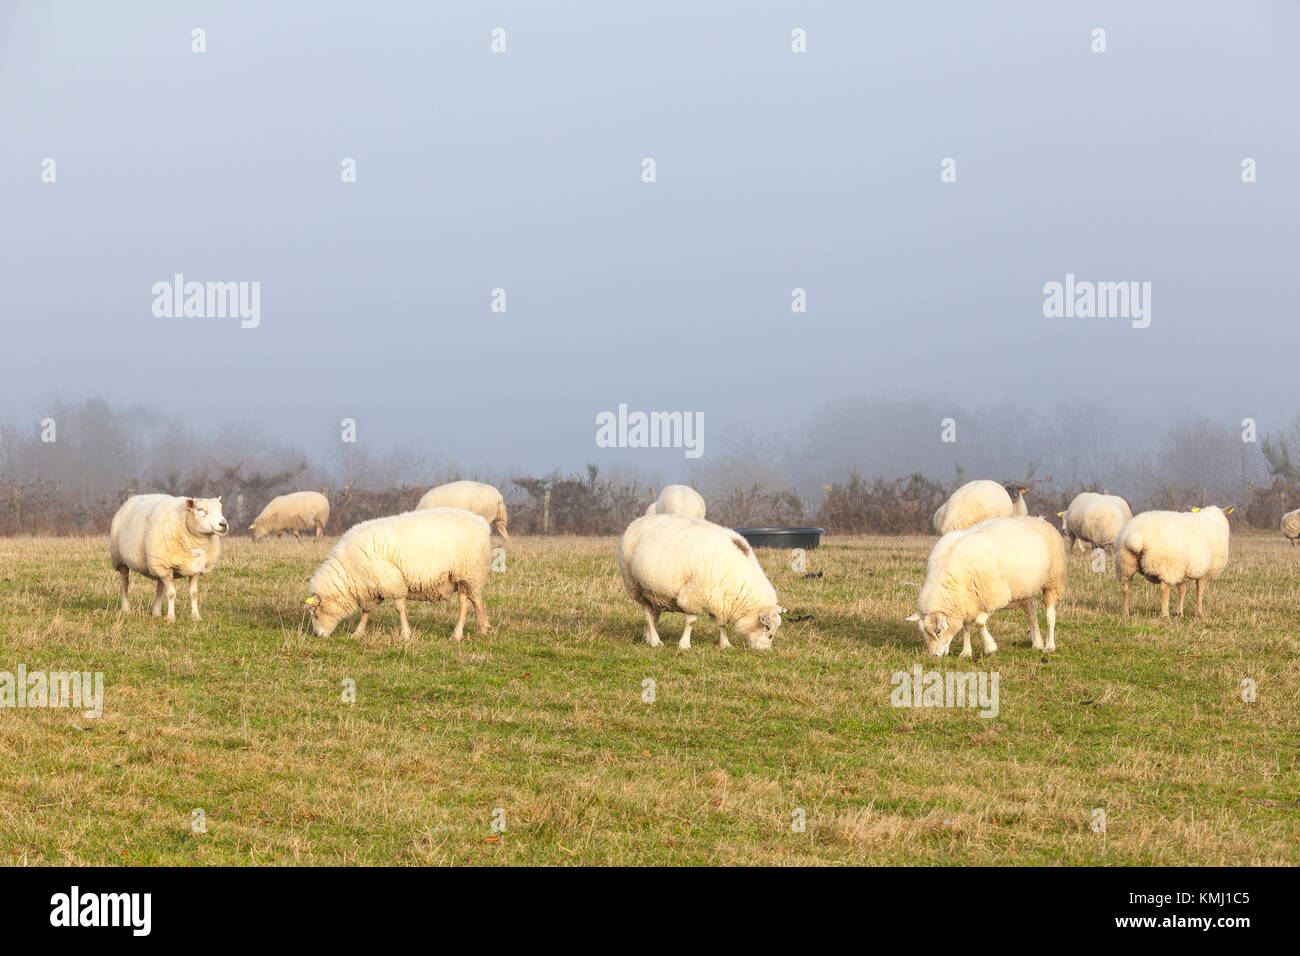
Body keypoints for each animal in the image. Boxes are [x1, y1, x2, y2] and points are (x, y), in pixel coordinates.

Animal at [109, 496, 228, 624]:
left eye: (221, 509)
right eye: (200, 509)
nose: (224, 524)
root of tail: (130, 500)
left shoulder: (195, 568)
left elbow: (194, 594)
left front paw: (196, 616)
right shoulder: (166, 567)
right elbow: (171, 594)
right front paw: (171, 618)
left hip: (160, 565)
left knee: (160, 589)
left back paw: (156, 612)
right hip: (121, 559)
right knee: (124, 584)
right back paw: (126, 608)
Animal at [301, 509, 488, 642]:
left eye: (315, 613)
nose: (317, 635)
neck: (348, 570)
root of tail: (481, 521)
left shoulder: (391, 580)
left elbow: (399, 608)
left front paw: (405, 634)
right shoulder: (371, 586)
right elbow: (366, 611)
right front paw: (358, 633)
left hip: (472, 573)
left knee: (474, 603)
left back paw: (478, 630)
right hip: (462, 578)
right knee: (466, 603)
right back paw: (464, 633)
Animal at [616, 515, 785, 650]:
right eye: (769, 633)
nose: (765, 650)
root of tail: (637, 521)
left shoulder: (720, 600)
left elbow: (722, 624)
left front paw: (725, 644)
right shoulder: (694, 595)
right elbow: (691, 621)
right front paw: (684, 645)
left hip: (655, 591)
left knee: (654, 613)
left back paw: (648, 636)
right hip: (636, 586)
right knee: (647, 613)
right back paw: (655, 641)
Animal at [904, 515, 1066, 658]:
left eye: (938, 631)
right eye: (924, 632)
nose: (934, 656)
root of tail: (1040, 519)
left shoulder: (995, 598)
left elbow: (980, 623)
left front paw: (990, 648)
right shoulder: (967, 601)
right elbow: (966, 626)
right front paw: (966, 652)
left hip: (1053, 581)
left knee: (1050, 615)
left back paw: (1049, 646)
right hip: (1025, 589)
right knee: (1031, 613)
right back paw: (1037, 643)